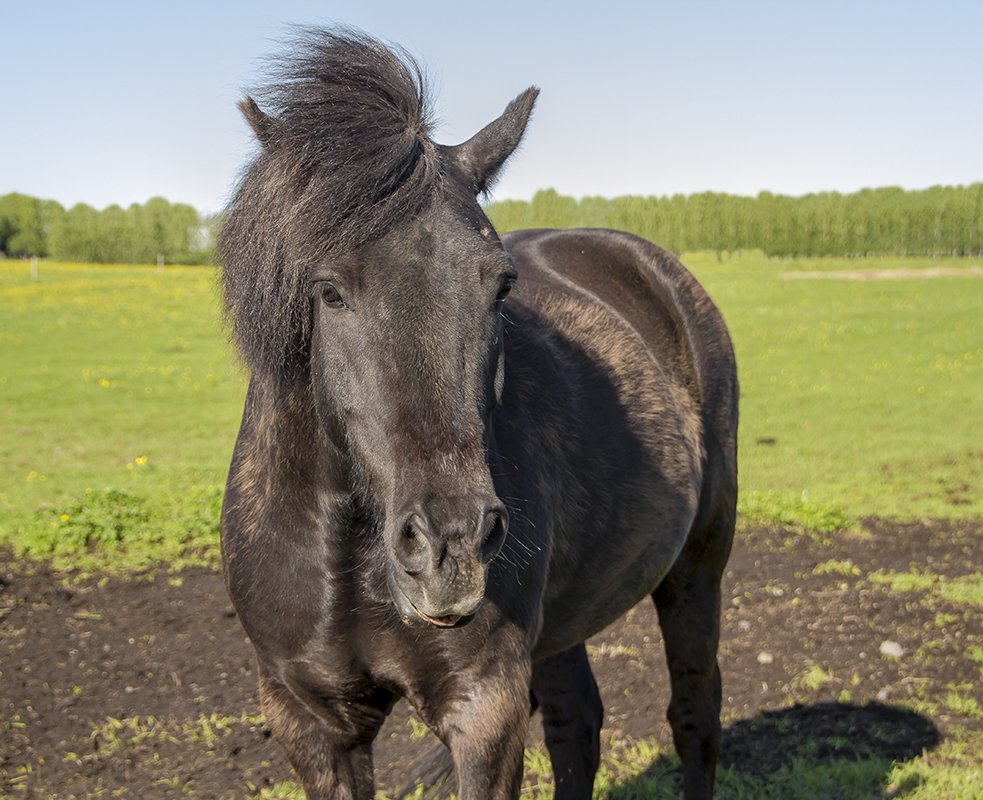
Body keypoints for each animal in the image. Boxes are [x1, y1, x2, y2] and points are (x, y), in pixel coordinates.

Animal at [219, 28, 736, 796]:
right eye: (329, 290)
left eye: (501, 286)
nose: (450, 544)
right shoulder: (309, 723)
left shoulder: (483, 707)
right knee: (577, 725)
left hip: (697, 567)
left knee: (694, 712)